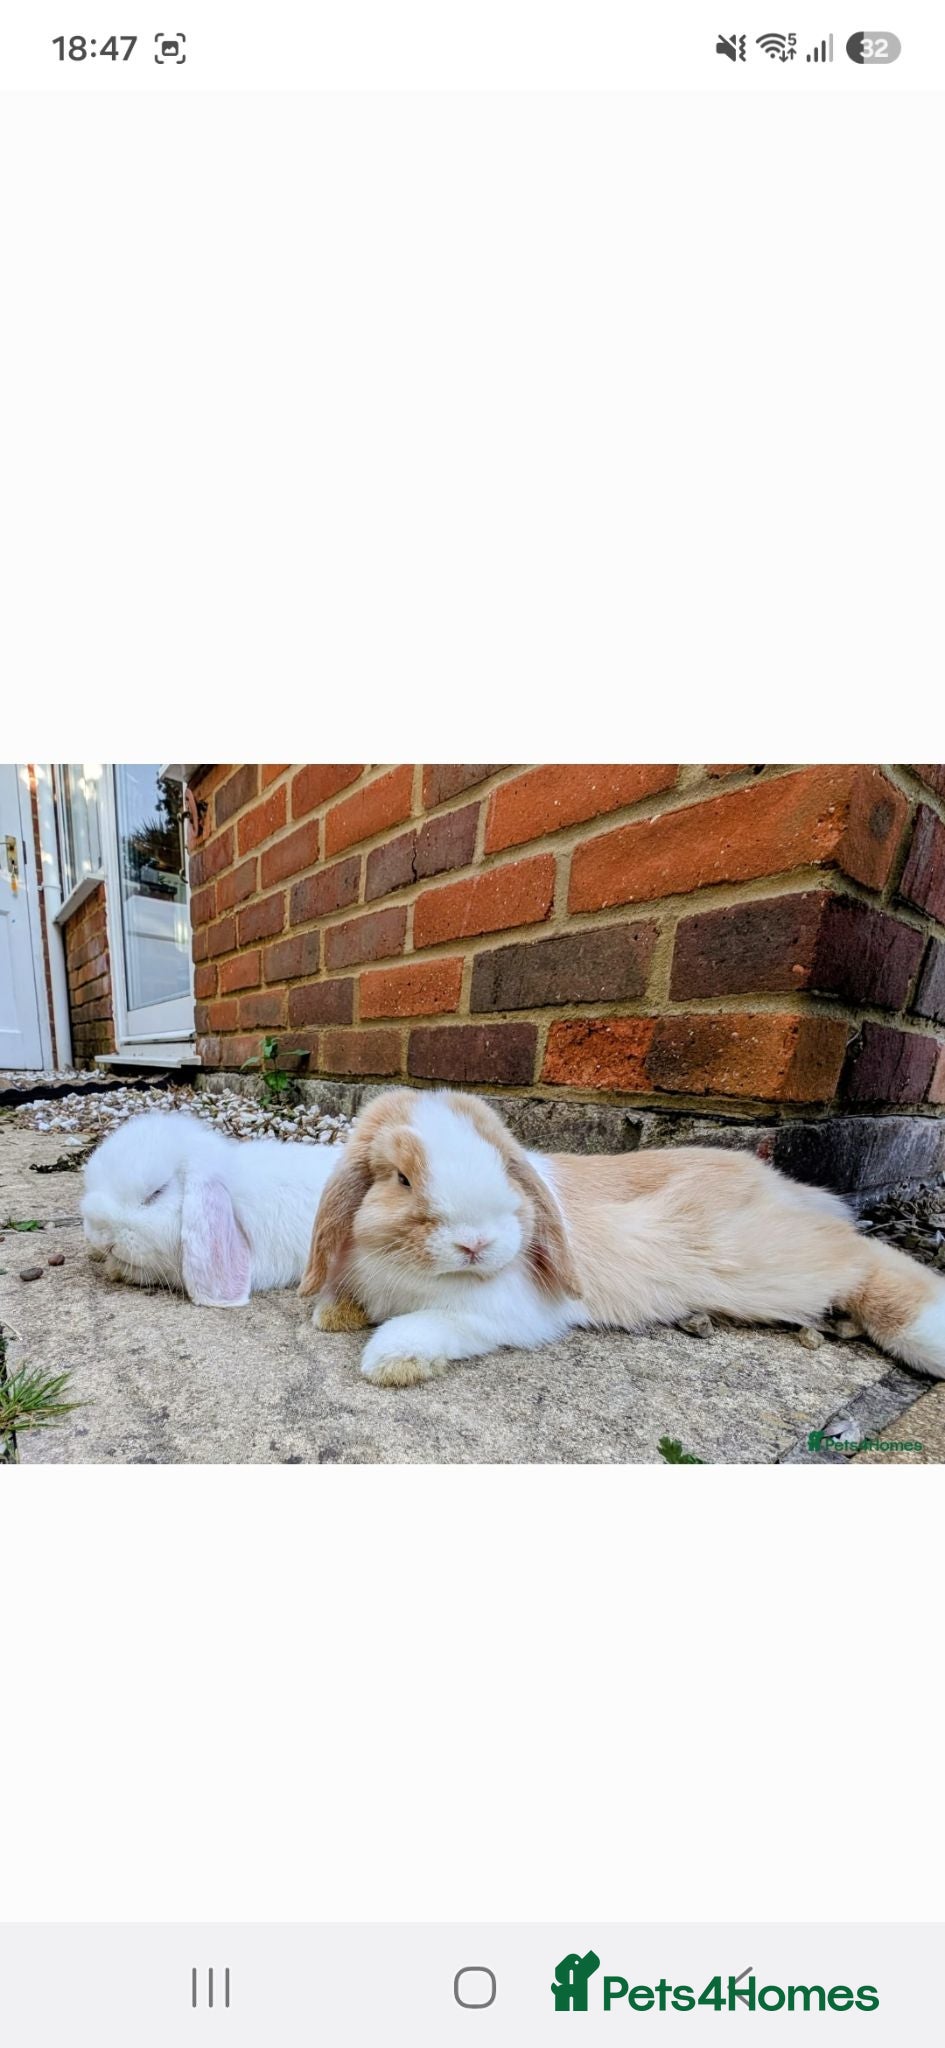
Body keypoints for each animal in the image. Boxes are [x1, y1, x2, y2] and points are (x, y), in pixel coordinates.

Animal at [299, 1086, 945, 1388]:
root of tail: (777, 1183)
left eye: (504, 1166)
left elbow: (428, 1325)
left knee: (868, 1257)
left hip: (770, 1262)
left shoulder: (501, 1313)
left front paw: (390, 1361)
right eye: (401, 1178)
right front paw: (332, 1315)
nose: (476, 1243)